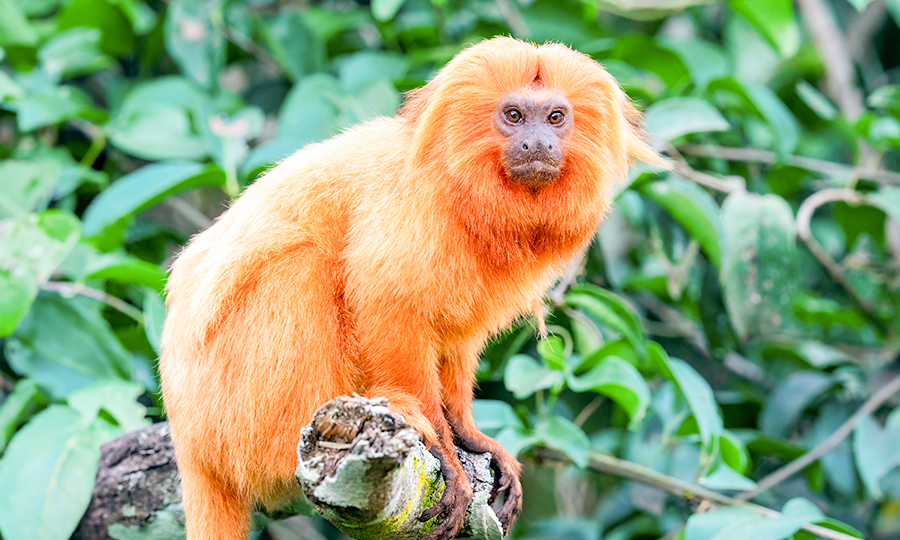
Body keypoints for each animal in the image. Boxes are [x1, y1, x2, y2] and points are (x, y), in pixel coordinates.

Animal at [158, 34, 656, 540]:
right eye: (514, 116)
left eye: (556, 117)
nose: (537, 142)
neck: (463, 190)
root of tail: (188, 442)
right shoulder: (412, 209)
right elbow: (386, 304)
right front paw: (440, 444)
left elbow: (457, 340)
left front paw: (467, 433)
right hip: (233, 411)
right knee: (299, 265)